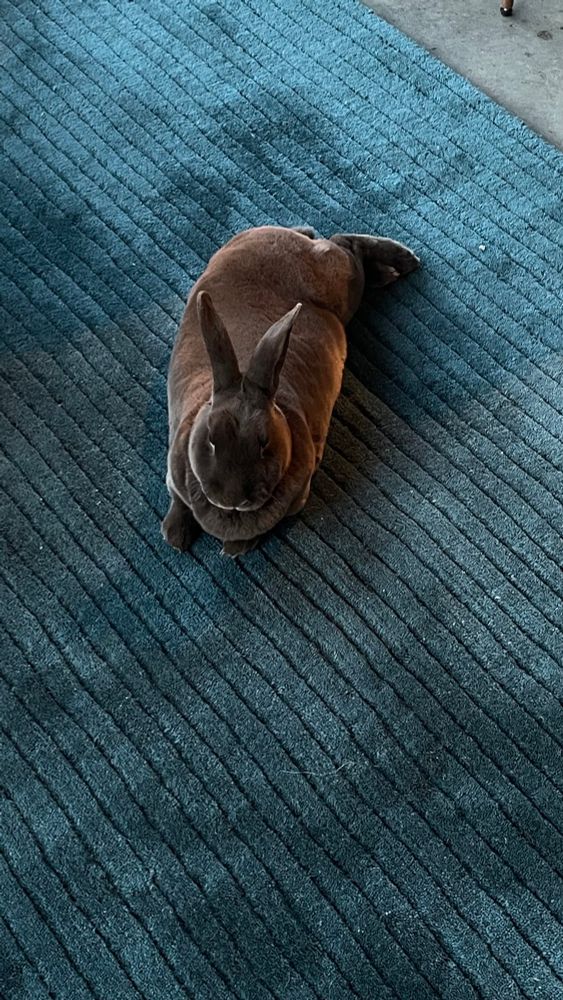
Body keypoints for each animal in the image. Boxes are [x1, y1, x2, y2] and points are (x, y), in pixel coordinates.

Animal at [162, 225, 419, 557]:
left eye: (264, 443)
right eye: (211, 439)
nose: (233, 498)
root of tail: (284, 233)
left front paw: (234, 548)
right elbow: (178, 502)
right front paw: (174, 536)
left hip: (342, 283)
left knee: (346, 245)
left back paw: (400, 263)